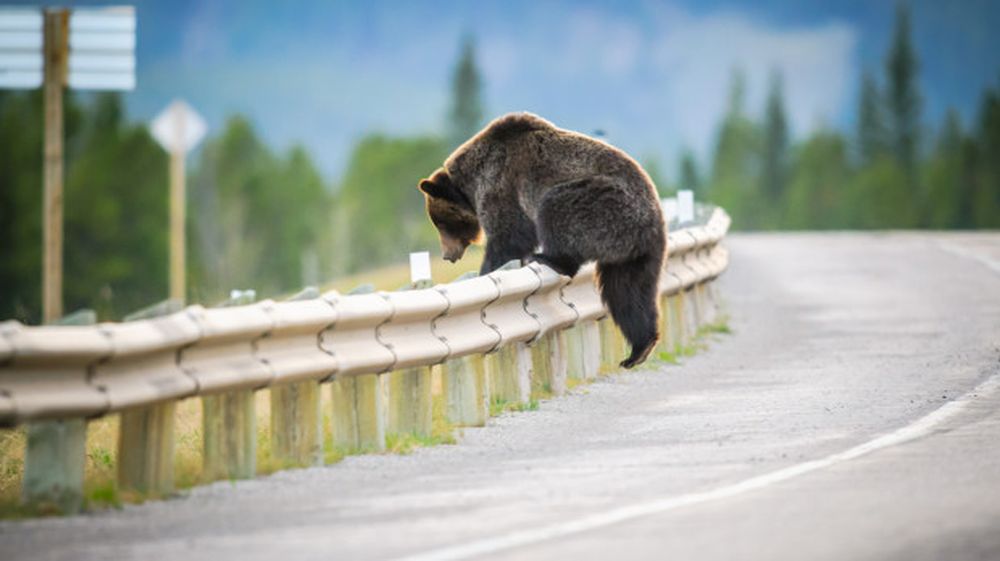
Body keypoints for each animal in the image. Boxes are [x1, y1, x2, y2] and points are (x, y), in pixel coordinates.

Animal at [418, 112, 667, 369]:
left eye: (442, 223)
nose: (448, 255)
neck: (470, 182)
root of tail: (648, 220)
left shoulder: (501, 184)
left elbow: (508, 237)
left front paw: (486, 270)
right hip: (636, 253)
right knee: (628, 290)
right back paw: (639, 350)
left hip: (603, 203)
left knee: (556, 208)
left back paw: (548, 258)